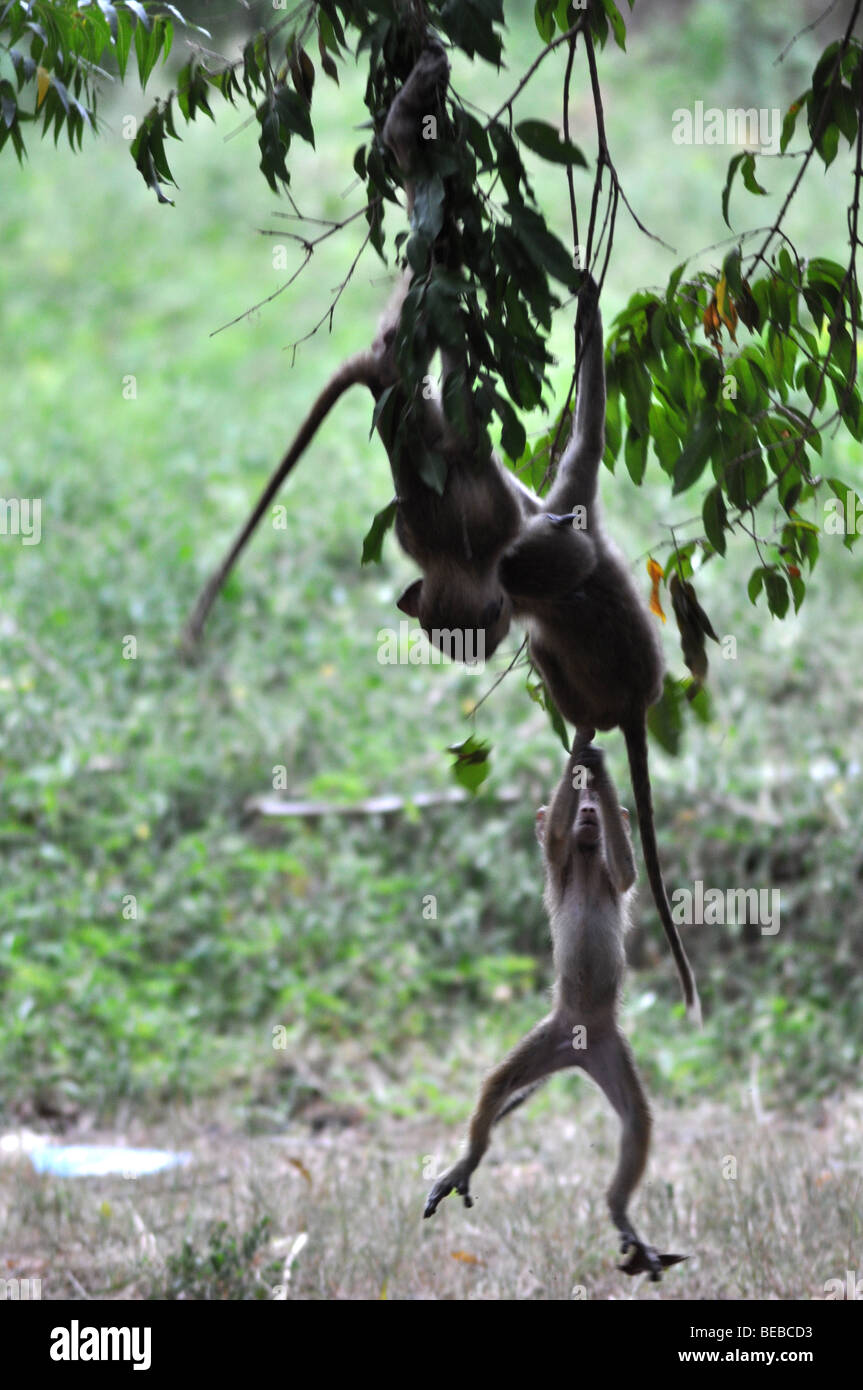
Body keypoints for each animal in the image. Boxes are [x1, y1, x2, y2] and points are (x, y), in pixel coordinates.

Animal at [425, 739, 686, 1278]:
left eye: (594, 808)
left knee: (636, 1121)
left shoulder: (609, 873)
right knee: (496, 1085)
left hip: (606, 1045)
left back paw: (619, 1210)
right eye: (581, 801)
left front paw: (599, 765)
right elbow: (555, 837)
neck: (585, 864)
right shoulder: (558, 861)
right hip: (555, 1035)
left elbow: (627, 870)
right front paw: (584, 757)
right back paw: (470, 1159)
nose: (588, 810)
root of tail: (577, 1049)